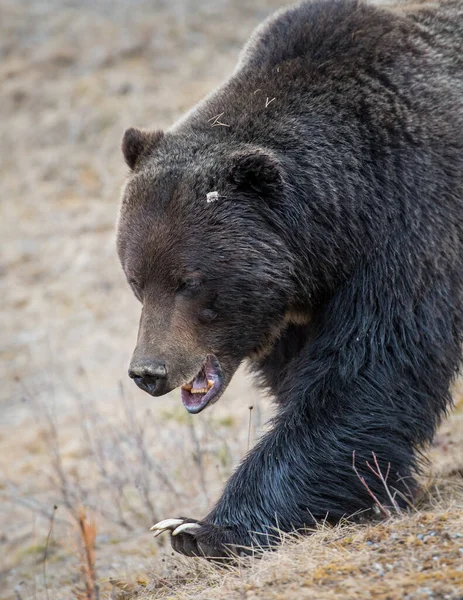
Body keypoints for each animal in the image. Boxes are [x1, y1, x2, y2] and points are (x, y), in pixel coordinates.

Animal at [118, 0, 463, 556]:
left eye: (188, 281)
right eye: (136, 280)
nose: (149, 371)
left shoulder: (414, 217)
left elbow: (368, 369)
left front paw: (201, 528)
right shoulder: (294, 308)